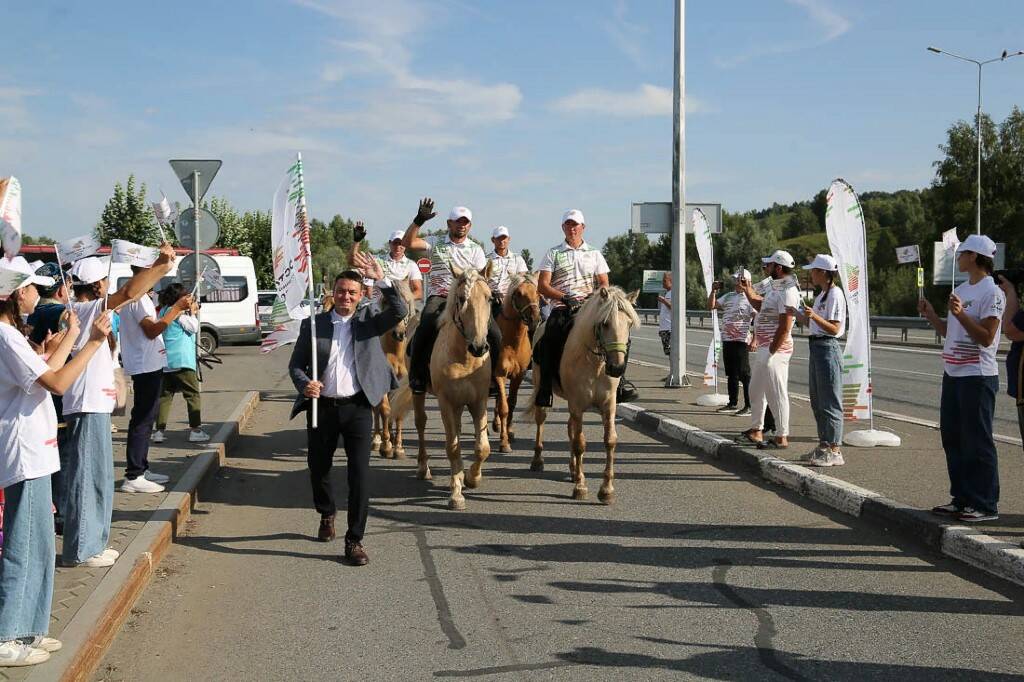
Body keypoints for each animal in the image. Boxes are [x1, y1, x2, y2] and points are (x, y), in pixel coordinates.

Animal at [389, 262, 493, 507]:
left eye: (489, 298)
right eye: (461, 299)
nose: (480, 347)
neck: (465, 357)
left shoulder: (479, 401)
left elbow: (482, 447)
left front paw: (472, 478)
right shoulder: (446, 402)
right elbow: (452, 447)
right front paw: (456, 494)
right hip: (420, 393)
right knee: (421, 424)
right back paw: (423, 468)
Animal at [489, 270, 540, 450]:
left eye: (537, 292)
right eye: (518, 293)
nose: (534, 319)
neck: (512, 341)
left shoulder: (518, 376)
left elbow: (511, 403)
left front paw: (509, 432)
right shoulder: (499, 374)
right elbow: (504, 407)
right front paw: (504, 442)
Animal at [532, 284, 634, 501]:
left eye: (629, 323)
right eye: (605, 324)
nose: (617, 368)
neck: (594, 363)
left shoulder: (608, 406)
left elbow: (609, 441)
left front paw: (606, 490)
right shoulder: (577, 405)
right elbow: (580, 443)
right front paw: (580, 486)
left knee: (570, 427)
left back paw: (572, 469)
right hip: (541, 390)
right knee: (541, 420)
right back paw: (537, 461)